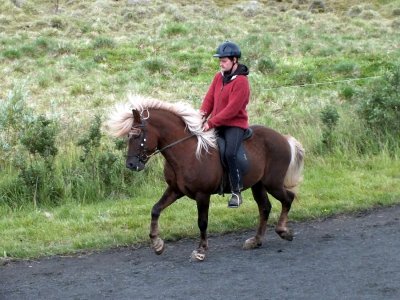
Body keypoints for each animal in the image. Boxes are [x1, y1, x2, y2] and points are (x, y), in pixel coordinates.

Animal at [106, 95, 304, 262]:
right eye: (129, 135)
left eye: (138, 135)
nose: (131, 165)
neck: (186, 152)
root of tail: (283, 138)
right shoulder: (175, 190)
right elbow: (155, 210)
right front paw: (157, 244)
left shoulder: (202, 195)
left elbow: (202, 222)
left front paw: (200, 250)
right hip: (258, 185)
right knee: (265, 207)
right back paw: (256, 240)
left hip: (273, 183)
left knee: (288, 198)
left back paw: (283, 231)